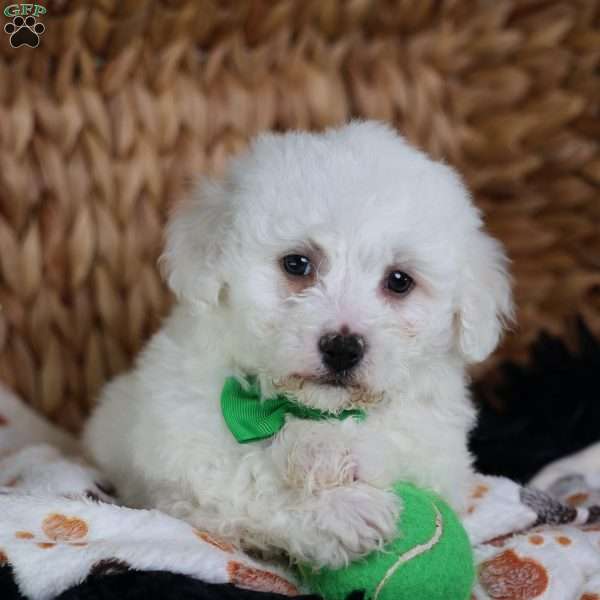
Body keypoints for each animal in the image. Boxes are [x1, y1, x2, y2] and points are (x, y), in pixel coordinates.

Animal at [84, 122, 512, 568]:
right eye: (297, 263)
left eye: (399, 281)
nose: (342, 348)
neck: (300, 406)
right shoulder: (182, 457)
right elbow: (243, 478)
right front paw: (340, 508)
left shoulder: (441, 453)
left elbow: (399, 437)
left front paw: (329, 448)